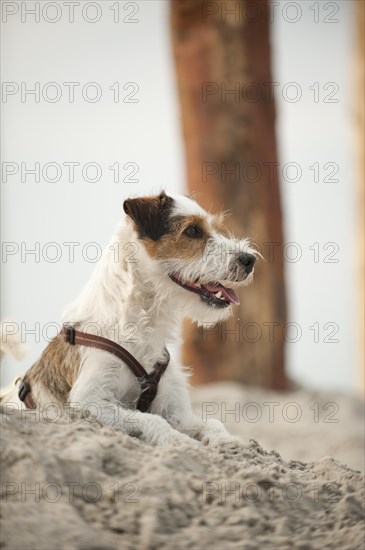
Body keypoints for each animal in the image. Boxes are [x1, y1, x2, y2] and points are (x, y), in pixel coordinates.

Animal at [0, 193, 256, 448]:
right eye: (193, 230)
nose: (249, 259)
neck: (141, 322)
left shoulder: (176, 410)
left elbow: (211, 423)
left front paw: (230, 442)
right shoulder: (89, 400)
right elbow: (151, 419)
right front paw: (181, 442)